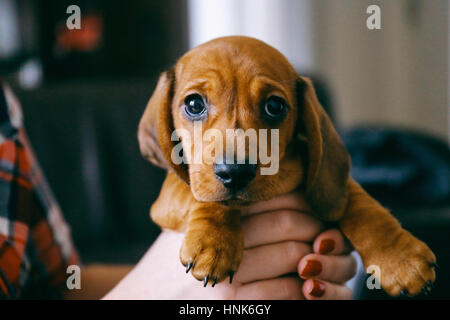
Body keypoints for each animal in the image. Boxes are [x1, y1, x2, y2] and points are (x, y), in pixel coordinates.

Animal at [138, 36, 436, 296]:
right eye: (194, 104)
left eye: (274, 106)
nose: (235, 172)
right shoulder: (168, 198)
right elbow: (199, 194)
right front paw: (214, 242)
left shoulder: (326, 185)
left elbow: (358, 202)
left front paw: (400, 258)